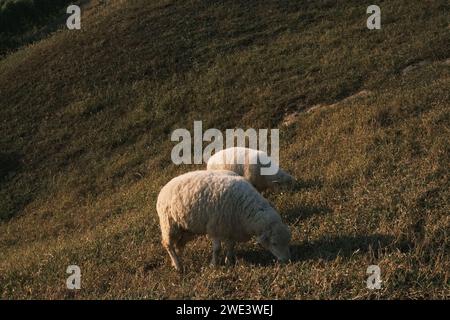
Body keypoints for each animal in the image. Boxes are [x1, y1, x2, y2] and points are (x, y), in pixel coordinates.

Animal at [158, 170, 292, 270]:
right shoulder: (215, 227)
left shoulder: (231, 228)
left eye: (288, 242)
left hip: (186, 229)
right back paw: (178, 265)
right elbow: (217, 249)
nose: (286, 260)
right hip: (169, 224)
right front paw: (213, 265)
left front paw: (228, 261)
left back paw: (176, 261)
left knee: (179, 244)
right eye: (274, 243)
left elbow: (231, 245)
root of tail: (164, 189)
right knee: (168, 244)